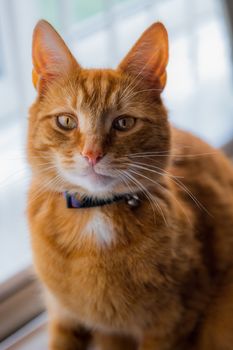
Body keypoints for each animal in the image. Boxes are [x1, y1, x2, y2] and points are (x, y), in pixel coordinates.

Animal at [27, 19, 233, 350]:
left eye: (123, 123)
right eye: (67, 121)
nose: (92, 154)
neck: (96, 216)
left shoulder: (171, 323)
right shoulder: (63, 316)